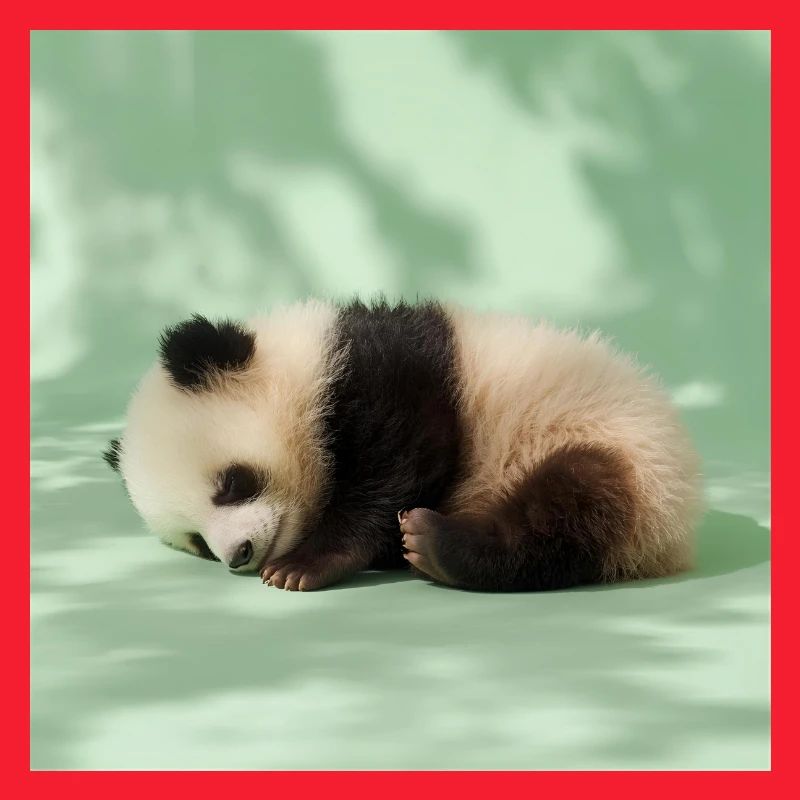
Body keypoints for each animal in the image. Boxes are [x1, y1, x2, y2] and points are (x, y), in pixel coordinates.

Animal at [104, 297, 702, 592]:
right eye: (197, 542)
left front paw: (306, 565)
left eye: (231, 484)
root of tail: (675, 541)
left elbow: (401, 457)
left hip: (619, 447)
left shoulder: (388, 376)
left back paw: (442, 546)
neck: (306, 364)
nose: (239, 556)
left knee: (573, 502)